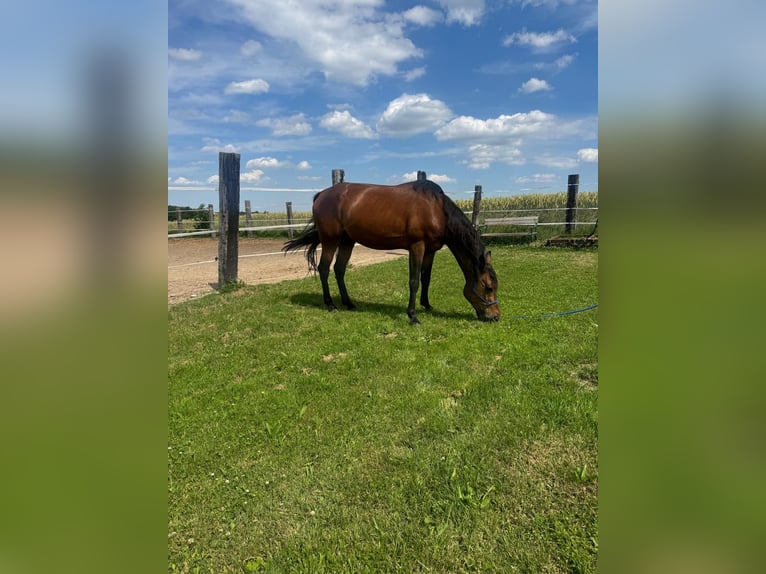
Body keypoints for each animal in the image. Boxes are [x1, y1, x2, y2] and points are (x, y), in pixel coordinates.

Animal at [283, 179, 499, 324]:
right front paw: (412, 316)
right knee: (324, 269)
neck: (437, 210)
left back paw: (349, 303)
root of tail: (321, 195)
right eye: (488, 287)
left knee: (339, 269)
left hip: (347, 242)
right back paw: (330, 304)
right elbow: (414, 281)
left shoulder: (430, 251)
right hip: (330, 241)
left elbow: (426, 278)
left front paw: (427, 305)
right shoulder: (417, 247)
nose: (495, 316)